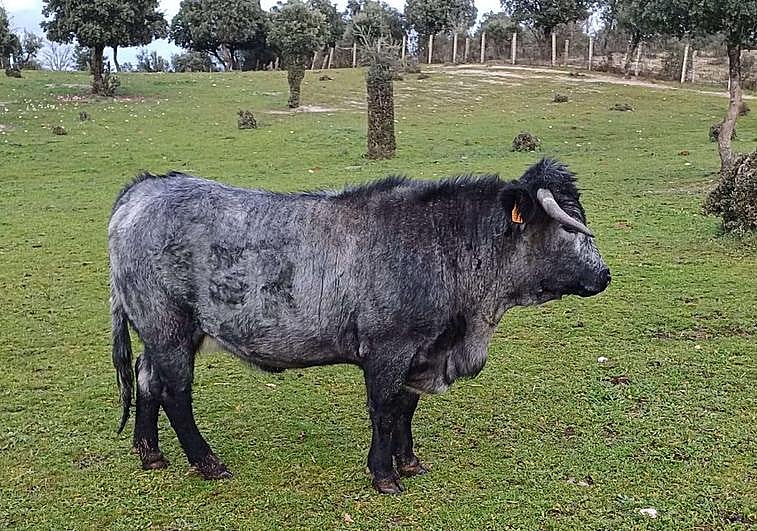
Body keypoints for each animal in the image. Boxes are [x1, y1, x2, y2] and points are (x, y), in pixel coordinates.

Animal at [109, 158, 610, 494]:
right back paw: (207, 463)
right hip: (170, 327)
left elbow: (406, 408)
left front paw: (409, 462)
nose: (604, 275)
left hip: (161, 332)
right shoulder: (389, 349)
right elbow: (385, 410)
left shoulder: (420, 351)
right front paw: (384, 474)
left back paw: (150, 453)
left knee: (146, 379)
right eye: (568, 228)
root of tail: (141, 191)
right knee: (175, 393)